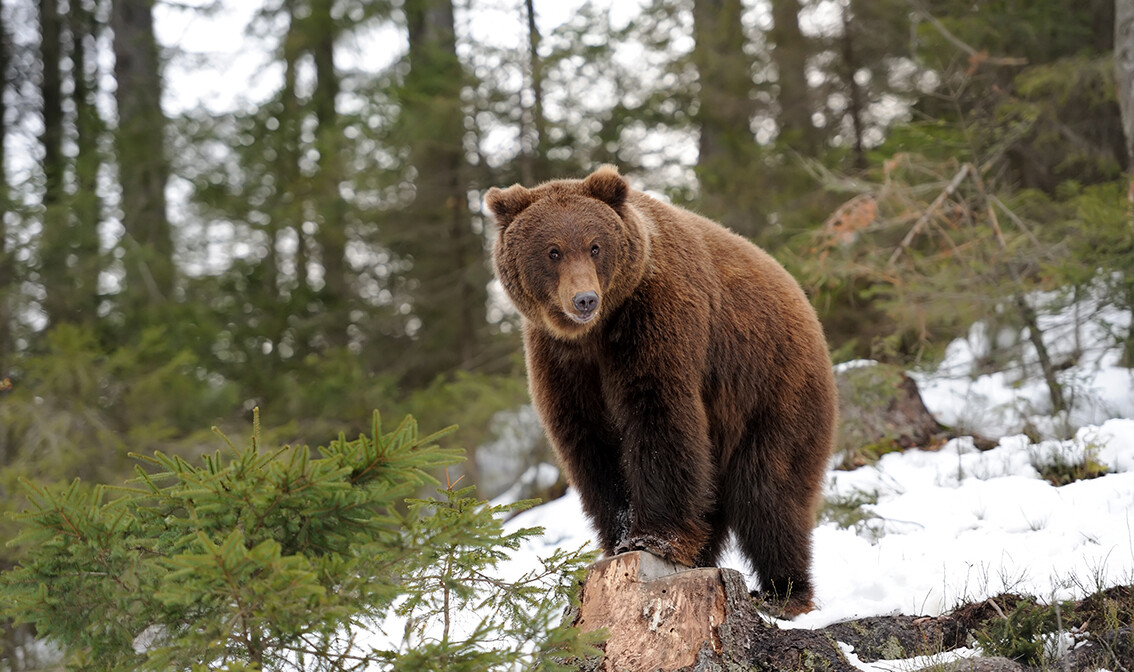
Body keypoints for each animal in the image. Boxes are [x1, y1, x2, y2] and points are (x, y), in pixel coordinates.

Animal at [483, 165, 839, 616]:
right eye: (553, 251)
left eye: (595, 246)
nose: (584, 299)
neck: (597, 332)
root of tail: (808, 308)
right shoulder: (560, 360)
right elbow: (590, 442)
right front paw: (618, 539)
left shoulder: (656, 317)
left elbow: (657, 416)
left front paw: (654, 538)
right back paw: (706, 556)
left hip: (774, 388)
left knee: (768, 492)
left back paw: (784, 591)